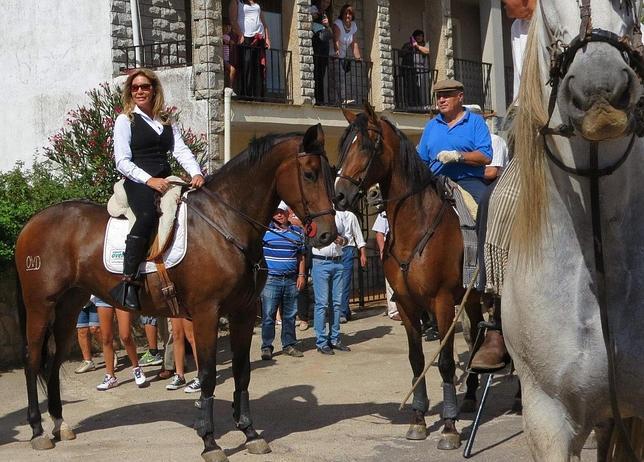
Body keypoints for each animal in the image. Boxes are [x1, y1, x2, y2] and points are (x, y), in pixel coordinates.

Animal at [15, 124, 337, 462]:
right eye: (310, 174)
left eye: (330, 172)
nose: (327, 234)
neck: (226, 223)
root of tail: (33, 223)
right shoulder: (207, 313)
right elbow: (208, 374)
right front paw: (210, 441)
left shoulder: (244, 312)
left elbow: (242, 371)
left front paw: (250, 432)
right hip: (40, 306)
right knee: (33, 358)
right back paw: (37, 430)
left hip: (68, 306)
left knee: (53, 361)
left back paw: (59, 425)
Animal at [333, 105, 485, 450]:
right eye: (343, 146)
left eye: (366, 147)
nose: (339, 196)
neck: (416, 226)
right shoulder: (405, 304)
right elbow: (416, 360)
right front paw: (417, 419)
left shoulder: (441, 302)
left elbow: (444, 361)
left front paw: (449, 427)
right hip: (471, 298)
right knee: (476, 335)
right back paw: (471, 394)